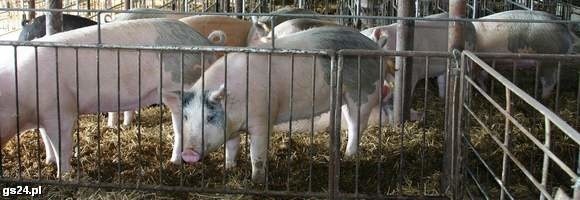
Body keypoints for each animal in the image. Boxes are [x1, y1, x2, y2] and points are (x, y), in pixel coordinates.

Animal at [0, 18, 216, 175]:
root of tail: (204, 43)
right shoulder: (44, 114)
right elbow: (46, 140)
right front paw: (48, 162)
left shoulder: (61, 110)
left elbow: (62, 145)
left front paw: (64, 176)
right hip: (171, 95)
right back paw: (175, 162)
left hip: (185, 88)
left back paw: (177, 162)